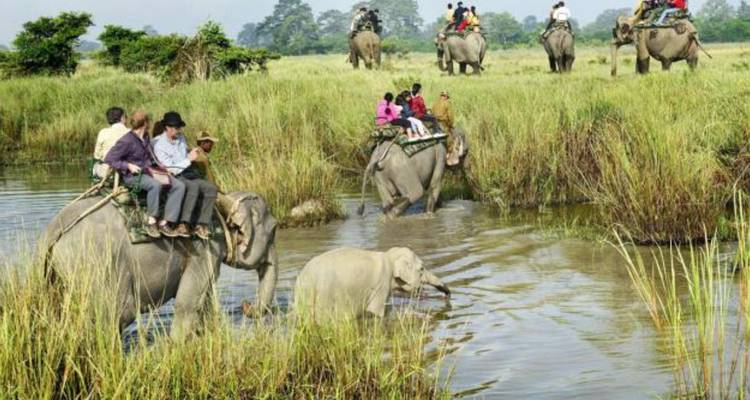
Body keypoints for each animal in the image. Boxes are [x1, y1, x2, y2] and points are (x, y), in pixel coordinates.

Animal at [42, 192, 278, 339]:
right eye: (275, 229)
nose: (245, 305)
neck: (223, 206)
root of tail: (54, 229)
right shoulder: (205, 249)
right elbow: (187, 303)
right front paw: (177, 346)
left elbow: (205, 301)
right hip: (96, 264)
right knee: (117, 314)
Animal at [294, 247, 450, 320]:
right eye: (422, 268)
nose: (447, 294)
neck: (388, 256)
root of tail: (303, 277)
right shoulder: (381, 283)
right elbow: (377, 311)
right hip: (324, 296)